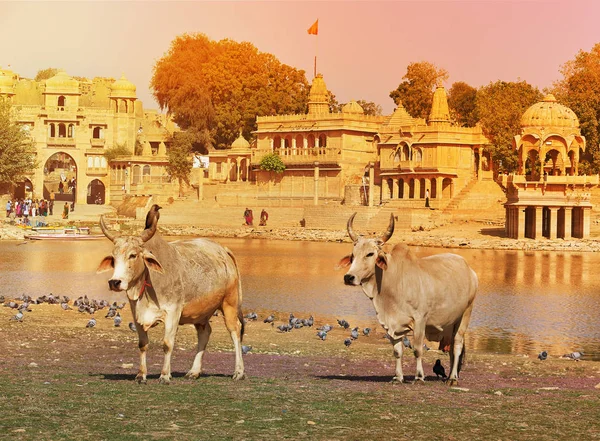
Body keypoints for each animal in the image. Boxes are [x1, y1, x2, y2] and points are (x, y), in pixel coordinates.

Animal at [97, 211, 245, 382]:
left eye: (133, 255)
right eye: (113, 258)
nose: (115, 282)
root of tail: (224, 250)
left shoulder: (173, 312)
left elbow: (167, 344)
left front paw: (164, 375)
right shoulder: (137, 314)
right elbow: (143, 344)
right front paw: (141, 374)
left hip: (230, 303)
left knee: (235, 331)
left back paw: (239, 372)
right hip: (201, 312)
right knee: (205, 332)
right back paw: (194, 371)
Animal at [340, 211, 476, 384]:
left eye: (370, 254)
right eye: (352, 256)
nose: (349, 277)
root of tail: (470, 270)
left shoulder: (420, 320)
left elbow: (417, 349)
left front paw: (419, 376)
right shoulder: (391, 325)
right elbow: (397, 351)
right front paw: (398, 377)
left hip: (465, 314)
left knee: (457, 345)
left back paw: (452, 378)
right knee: (452, 348)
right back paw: (452, 375)